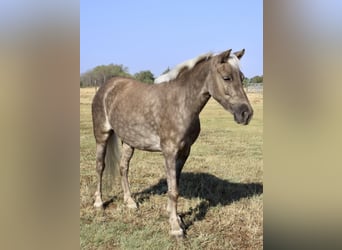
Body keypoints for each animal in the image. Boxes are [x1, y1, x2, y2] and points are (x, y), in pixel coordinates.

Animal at [92, 48, 252, 236]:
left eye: (242, 77)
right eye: (227, 77)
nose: (246, 114)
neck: (180, 104)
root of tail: (107, 86)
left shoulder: (184, 152)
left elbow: (174, 186)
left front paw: (175, 217)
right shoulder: (169, 152)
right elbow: (173, 190)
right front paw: (176, 228)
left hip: (129, 141)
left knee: (123, 168)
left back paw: (130, 202)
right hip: (102, 135)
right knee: (100, 167)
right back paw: (98, 202)